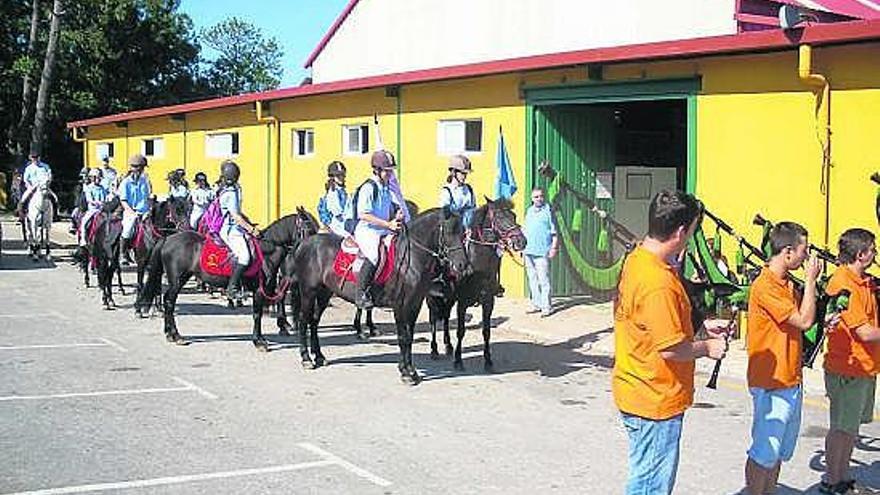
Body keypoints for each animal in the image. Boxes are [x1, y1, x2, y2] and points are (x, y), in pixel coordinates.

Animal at [134, 209, 316, 348]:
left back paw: (171, 334)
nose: (312, 249)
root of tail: (168, 239)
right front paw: (259, 341)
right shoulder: (258, 291)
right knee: (169, 301)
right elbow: (257, 314)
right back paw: (176, 335)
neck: (266, 251)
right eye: (308, 229)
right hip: (177, 279)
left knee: (168, 301)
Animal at [294, 207, 474, 386]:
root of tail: (306, 242)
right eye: (449, 232)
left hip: (324, 293)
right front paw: (406, 373)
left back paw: (319, 356)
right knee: (303, 321)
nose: (463, 265)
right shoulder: (400, 305)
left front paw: (409, 370)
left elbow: (409, 337)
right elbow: (403, 337)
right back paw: (306, 359)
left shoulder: (415, 304)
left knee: (314, 321)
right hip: (308, 292)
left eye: (463, 232)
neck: (411, 259)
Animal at [428, 198, 524, 372]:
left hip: (449, 298)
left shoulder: (488, 301)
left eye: (513, 215)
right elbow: (460, 331)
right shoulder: (462, 302)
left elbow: (486, 331)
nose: (521, 241)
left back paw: (448, 346)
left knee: (445, 318)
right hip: (432, 296)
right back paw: (434, 350)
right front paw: (458, 361)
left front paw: (488, 361)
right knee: (433, 319)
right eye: (499, 217)